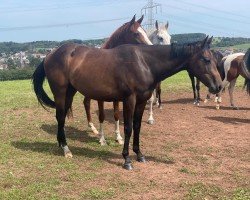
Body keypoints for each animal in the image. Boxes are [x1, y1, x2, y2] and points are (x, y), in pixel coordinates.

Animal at [32, 35, 222, 169]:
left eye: (214, 59)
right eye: (206, 59)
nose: (219, 86)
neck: (144, 63)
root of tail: (50, 54)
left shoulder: (142, 100)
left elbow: (137, 126)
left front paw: (139, 154)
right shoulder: (129, 99)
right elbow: (128, 128)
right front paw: (127, 159)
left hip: (70, 92)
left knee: (62, 117)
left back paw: (61, 144)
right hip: (60, 92)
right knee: (60, 117)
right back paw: (66, 149)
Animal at [82, 14, 152, 145]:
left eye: (145, 32)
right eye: (136, 33)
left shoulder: (118, 97)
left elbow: (116, 115)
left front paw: (118, 137)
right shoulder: (100, 98)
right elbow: (102, 116)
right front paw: (102, 139)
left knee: (86, 102)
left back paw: (93, 128)